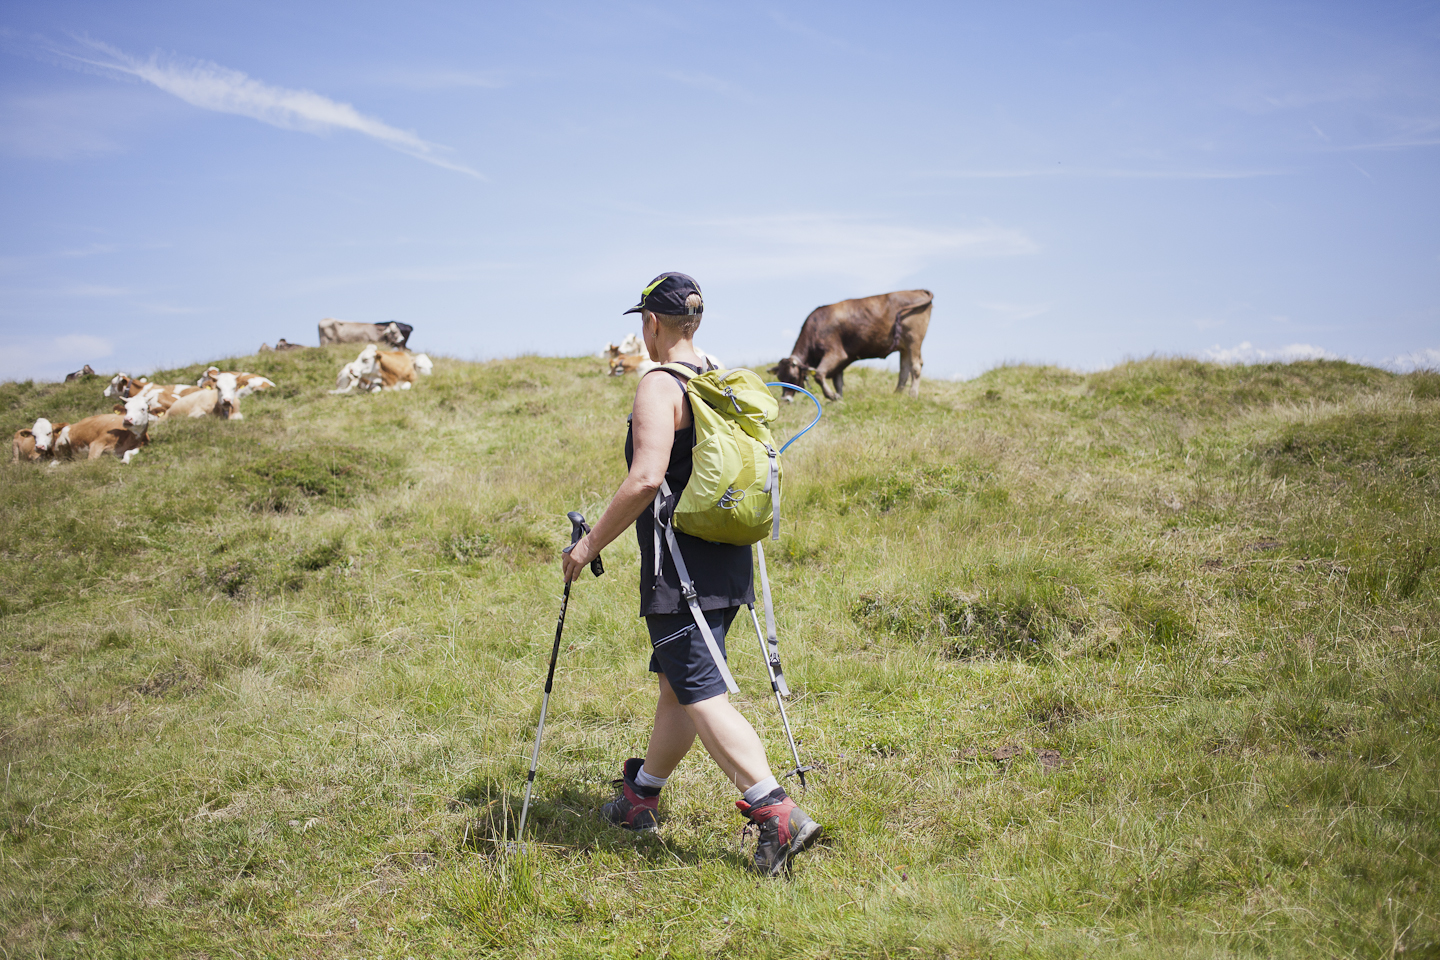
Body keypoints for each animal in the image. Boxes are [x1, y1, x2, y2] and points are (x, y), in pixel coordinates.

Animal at [770, 290, 933, 401]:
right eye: (779, 377)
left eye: (793, 377)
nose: (785, 399)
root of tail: (918, 290)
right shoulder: (842, 361)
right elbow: (838, 381)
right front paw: (839, 398)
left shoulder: (836, 353)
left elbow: (819, 374)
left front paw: (832, 396)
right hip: (904, 346)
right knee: (904, 369)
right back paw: (897, 394)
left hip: (914, 339)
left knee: (916, 366)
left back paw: (912, 395)